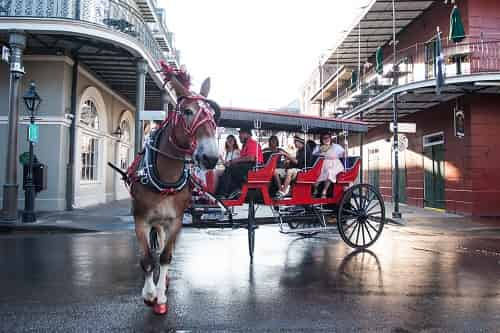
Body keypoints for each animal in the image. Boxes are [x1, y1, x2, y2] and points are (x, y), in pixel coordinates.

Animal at [117, 72, 221, 314]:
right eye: (187, 111)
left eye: (213, 115)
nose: (211, 157)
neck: (166, 178)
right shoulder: (141, 220)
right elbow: (147, 259)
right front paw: (149, 295)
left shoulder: (176, 221)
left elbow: (166, 256)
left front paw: (161, 298)